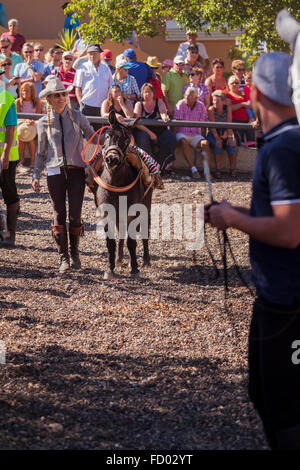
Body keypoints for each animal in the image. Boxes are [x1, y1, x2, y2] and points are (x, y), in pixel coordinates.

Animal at [95, 110, 152, 280]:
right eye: (108, 135)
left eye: (127, 139)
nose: (112, 159)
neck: (116, 183)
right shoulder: (107, 212)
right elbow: (111, 242)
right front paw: (110, 268)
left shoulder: (132, 212)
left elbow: (132, 241)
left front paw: (134, 268)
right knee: (121, 233)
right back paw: (119, 258)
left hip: (146, 207)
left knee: (145, 231)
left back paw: (146, 260)